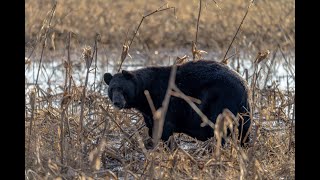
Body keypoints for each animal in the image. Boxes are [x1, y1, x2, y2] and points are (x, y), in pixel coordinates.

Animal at [104, 59, 251, 147]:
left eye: (123, 89)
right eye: (111, 89)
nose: (117, 102)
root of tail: (244, 85)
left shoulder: (164, 100)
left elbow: (164, 128)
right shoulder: (149, 112)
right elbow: (152, 127)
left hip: (221, 101)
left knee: (219, 127)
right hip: (243, 108)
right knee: (245, 128)